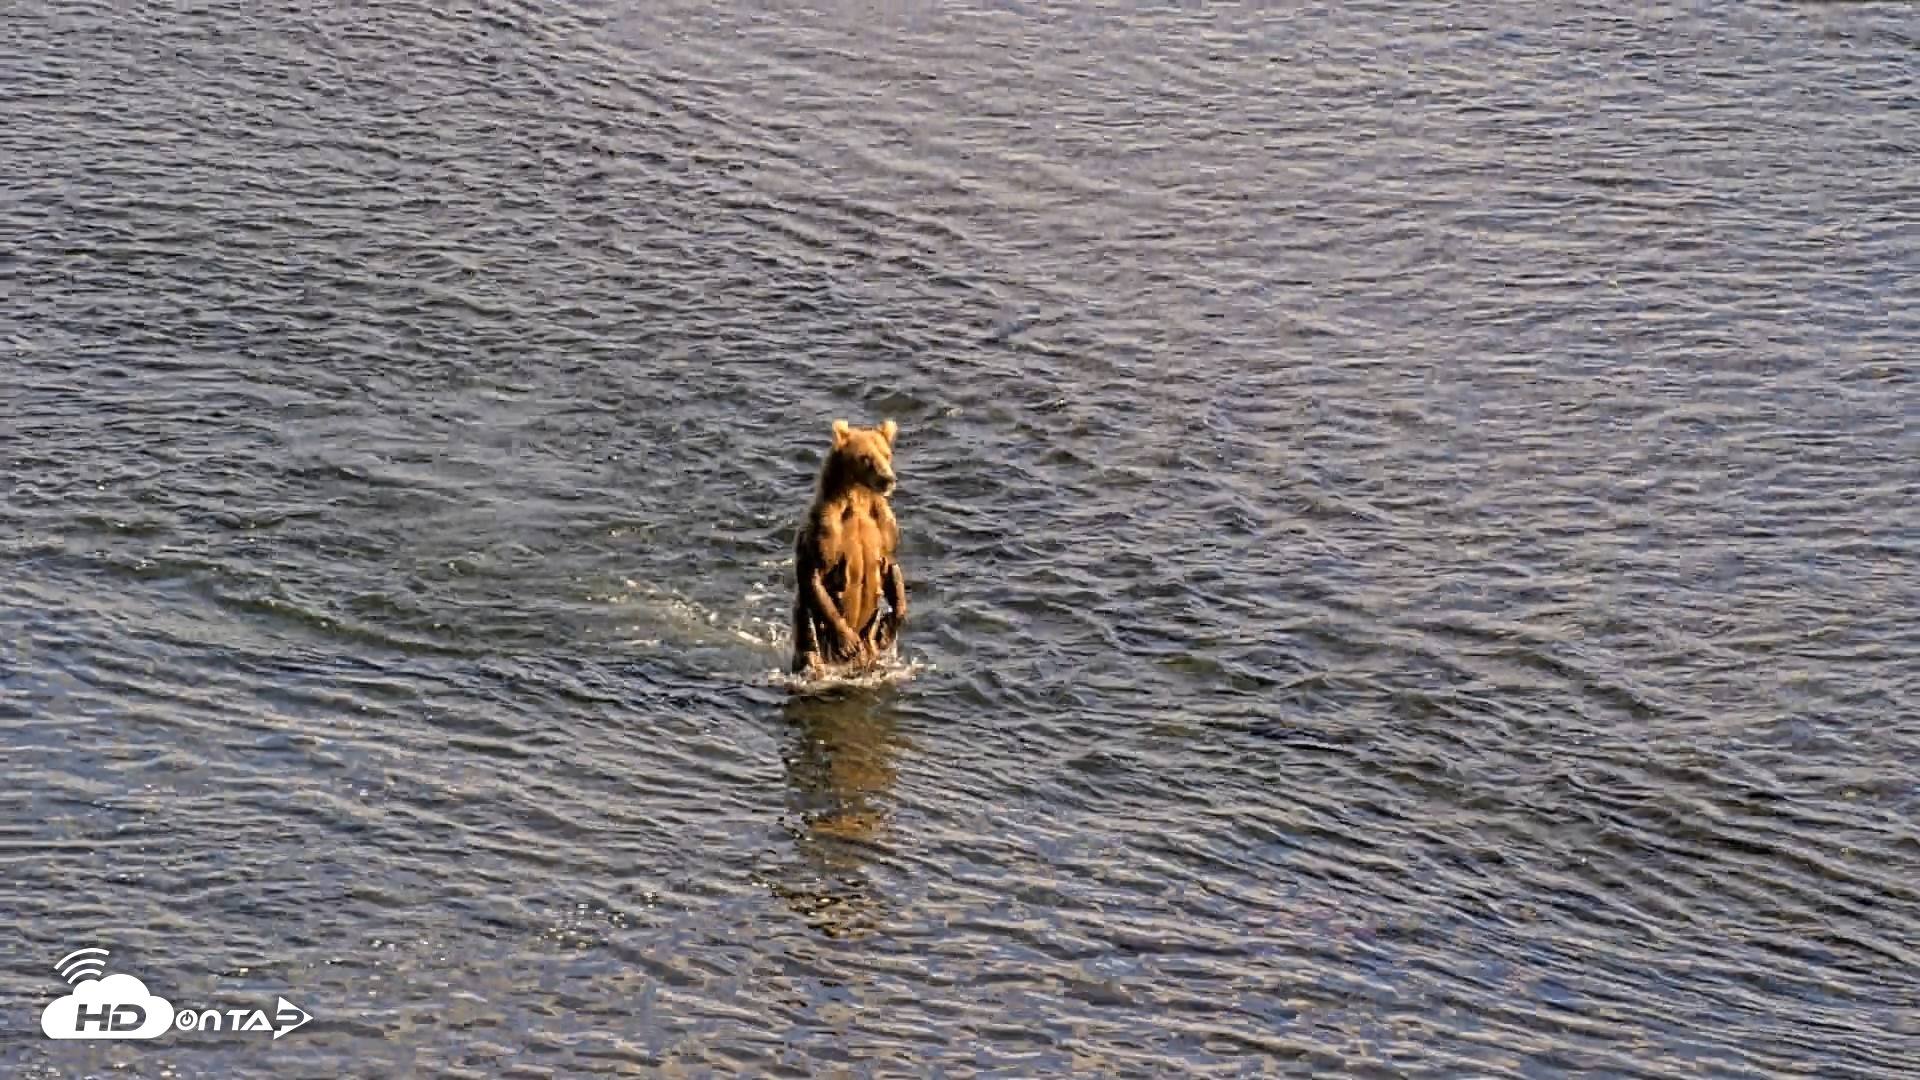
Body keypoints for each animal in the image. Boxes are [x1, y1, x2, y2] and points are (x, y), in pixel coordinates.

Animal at [791, 418, 907, 676]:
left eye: (887, 454)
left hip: (868, 646)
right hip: (811, 636)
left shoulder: (884, 529)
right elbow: (815, 573)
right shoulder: (825, 530)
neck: (858, 500)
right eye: (865, 457)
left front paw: (888, 629)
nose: (888, 479)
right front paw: (846, 640)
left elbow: (892, 568)